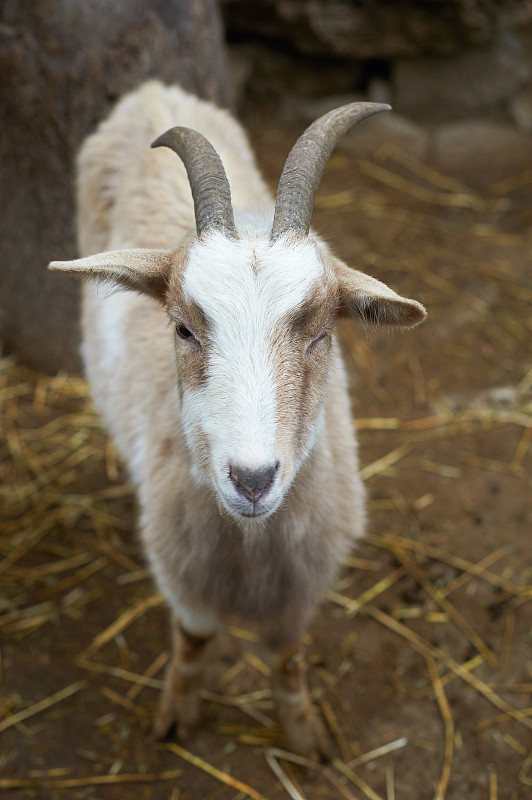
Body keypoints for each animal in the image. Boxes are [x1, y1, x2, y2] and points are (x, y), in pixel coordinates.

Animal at [48, 81, 424, 756]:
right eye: (182, 328)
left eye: (321, 333)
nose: (252, 480)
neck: (251, 546)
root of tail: (151, 91)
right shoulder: (185, 578)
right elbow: (194, 644)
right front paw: (176, 716)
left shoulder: (300, 589)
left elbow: (290, 657)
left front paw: (305, 737)